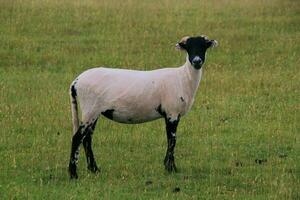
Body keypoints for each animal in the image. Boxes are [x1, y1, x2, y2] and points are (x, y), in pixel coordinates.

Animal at [68, 34, 218, 178]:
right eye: (188, 47)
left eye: (204, 46)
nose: (197, 61)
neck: (183, 78)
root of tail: (76, 82)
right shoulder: (172, 113)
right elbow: (172, 140)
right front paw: (170, 168)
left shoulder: (174, 114)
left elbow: (171, 140)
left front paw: (170, 167)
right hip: (90, 109)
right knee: (77, 138)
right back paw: (73, 174)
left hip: (94, 111)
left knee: (87, 139)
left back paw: (94, 169)